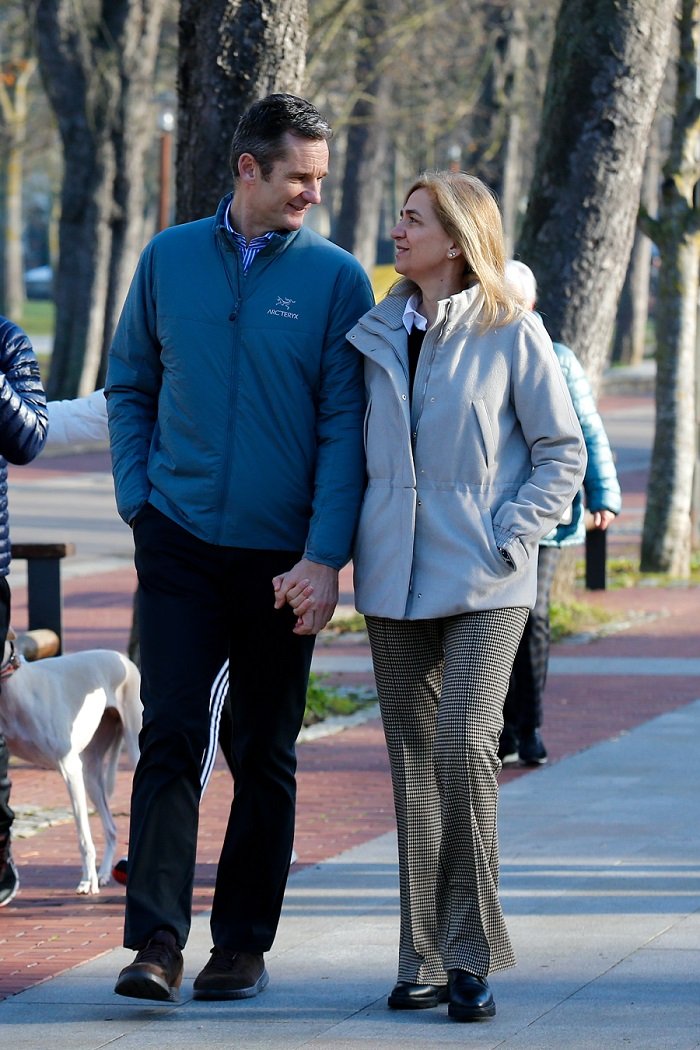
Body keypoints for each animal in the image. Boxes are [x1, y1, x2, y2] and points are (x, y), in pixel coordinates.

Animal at [0, 638, 142, 894]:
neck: (16, 687)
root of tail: (123, 659)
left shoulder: (70, 768)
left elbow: (84, 836)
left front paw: (88, 882)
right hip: (91, 774)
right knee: (111, 828)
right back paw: (103, 873)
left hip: (133, 750)